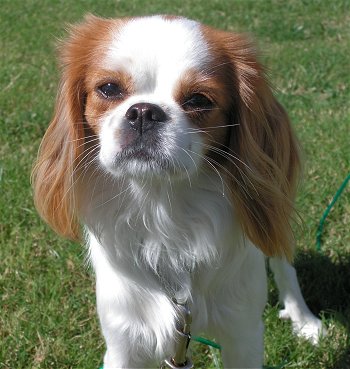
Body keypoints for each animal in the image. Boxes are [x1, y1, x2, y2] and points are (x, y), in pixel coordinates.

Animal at [32, 15, 326, 368]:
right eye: (109, 89)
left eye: (198, 100)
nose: (143, 112)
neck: (163, 209)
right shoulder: (124, 340)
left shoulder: (243, 333)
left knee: (283, 263)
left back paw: (303, 318)